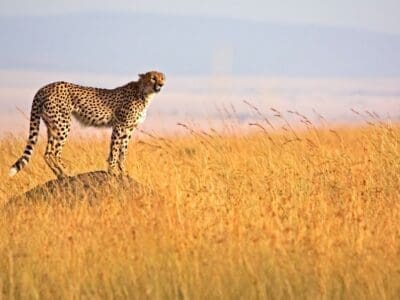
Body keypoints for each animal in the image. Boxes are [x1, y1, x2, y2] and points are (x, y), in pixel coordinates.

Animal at [9, 70, 166, 178]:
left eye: (162, 78)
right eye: (153, 77)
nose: (161, 84)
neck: (144, 93)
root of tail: (45, 87)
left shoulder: (128, 129)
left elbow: (123, 152)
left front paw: (123, 172)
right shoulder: (119, 126)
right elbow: (114, 151)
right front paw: (112, 171)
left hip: (52, 125)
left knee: (47, 153)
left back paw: (60, 175)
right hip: (63, 124)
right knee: (55, 152)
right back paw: (68, 172)